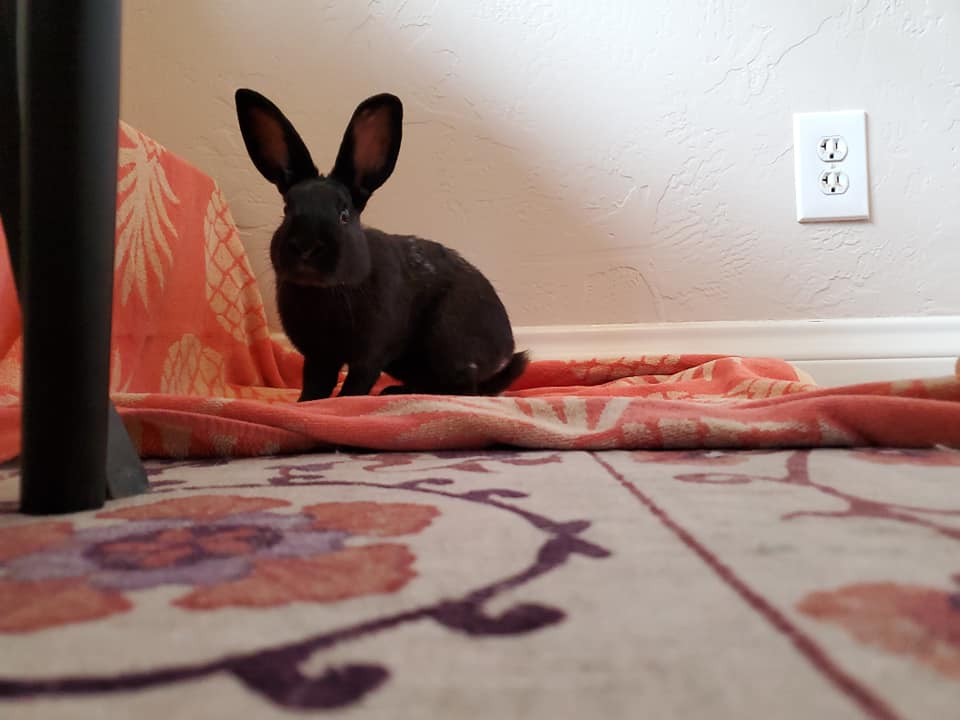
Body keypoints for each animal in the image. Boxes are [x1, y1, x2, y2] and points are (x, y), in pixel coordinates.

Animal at [235, 88, 528, 401]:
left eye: (344, 215)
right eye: (287, 209)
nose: (305, 247)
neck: (323, 292)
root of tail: (505, 348)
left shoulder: (369, 353)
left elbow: (355, 384)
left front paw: (345, 401)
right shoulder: (319, 357)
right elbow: (316, 384)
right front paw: (305, 403)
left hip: (448, 344)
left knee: (465, 388)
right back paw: (395, 391)